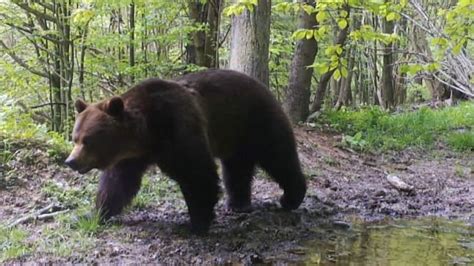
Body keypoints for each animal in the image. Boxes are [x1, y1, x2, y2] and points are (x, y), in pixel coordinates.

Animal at [65, 69, 306, 233]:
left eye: (87, 140)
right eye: (75, 138)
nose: (70, 161)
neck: (147, 133)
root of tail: (263, 86)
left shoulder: (178, 128)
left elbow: (197, 174)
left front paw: (197, 222)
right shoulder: (132, 157)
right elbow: (117, 184)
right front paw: (94, 215)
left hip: (256, 120)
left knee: (278, 156)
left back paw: (290, 198)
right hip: (234, 136)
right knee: (237, 169)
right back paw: (238, 204)